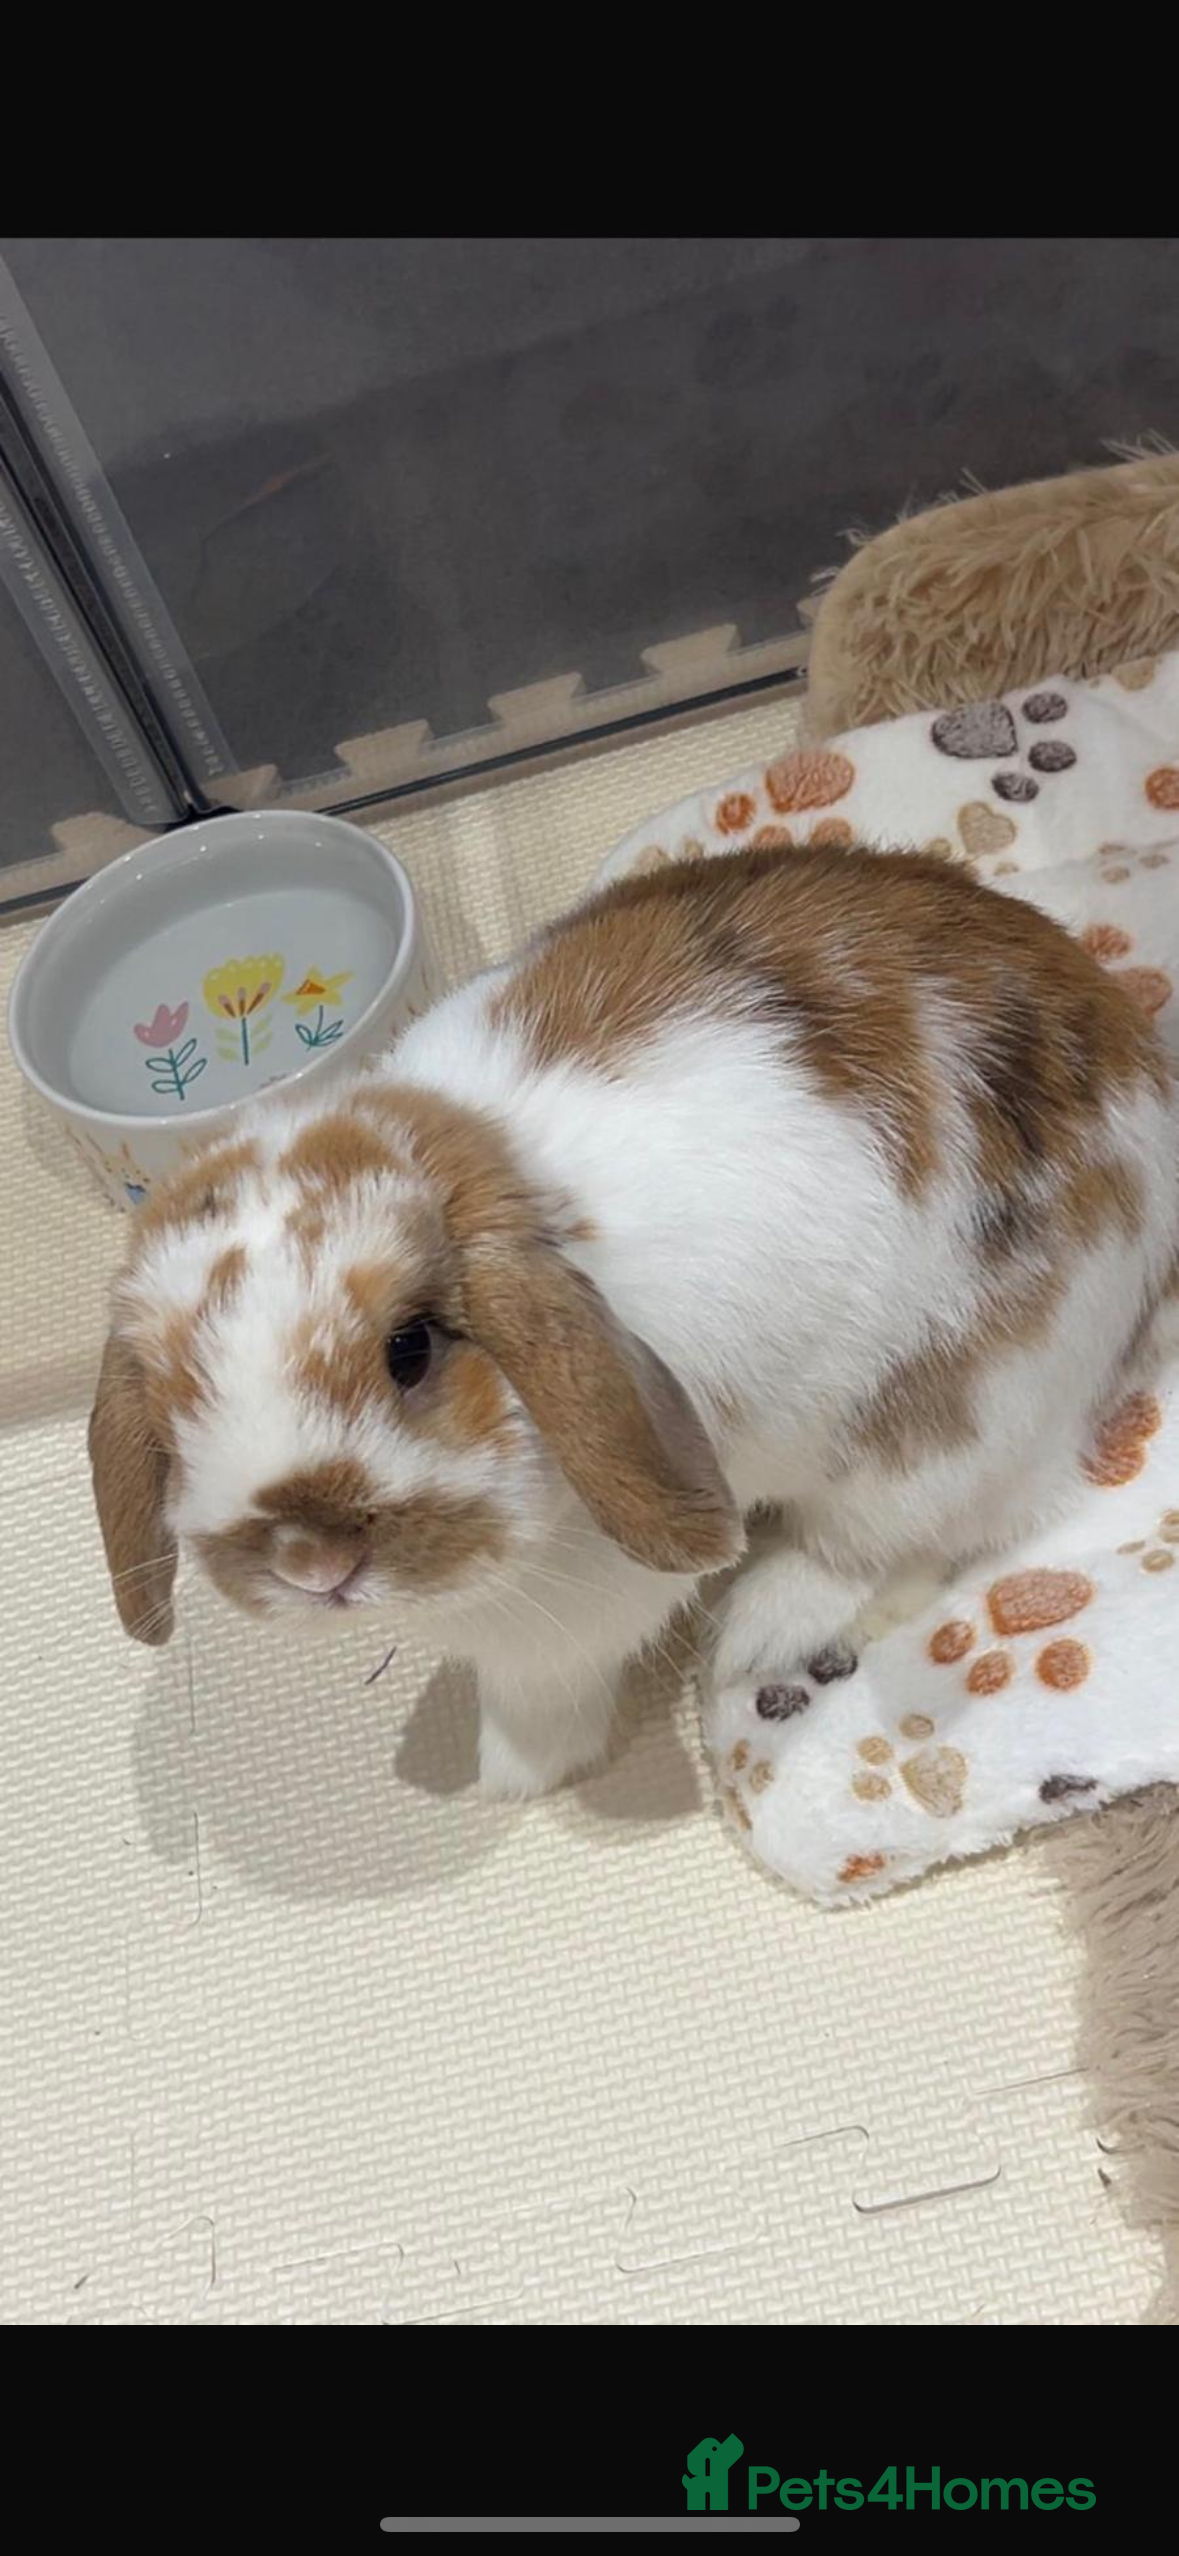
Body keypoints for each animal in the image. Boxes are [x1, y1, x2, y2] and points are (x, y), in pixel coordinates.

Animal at [90, 840, 1179, 1798]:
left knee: (910, 1540)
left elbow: (543, 1693)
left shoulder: (575, 1610)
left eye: (411, 1348)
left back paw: (761, 1630)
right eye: (174, 1403)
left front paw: (510, 1779)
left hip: (961, 1420)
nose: (312, 1564)